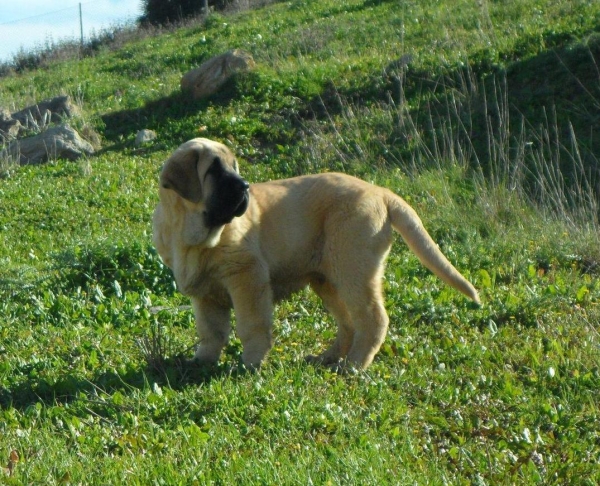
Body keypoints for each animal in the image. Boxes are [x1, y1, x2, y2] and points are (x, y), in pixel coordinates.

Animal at [152, 139, 480, 370]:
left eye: (234, 168)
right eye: (214, 171)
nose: (245, 186)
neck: (194, 236)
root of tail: (381, 192)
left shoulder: (247, 279)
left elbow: (251, 325)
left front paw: (251, 363)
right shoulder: (204, 294)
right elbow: (211, 332)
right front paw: (202, 362)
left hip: (353, 269)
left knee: (372, 319)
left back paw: (353, 366)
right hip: (327, 280)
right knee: (348, 324)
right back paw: (327, 358)